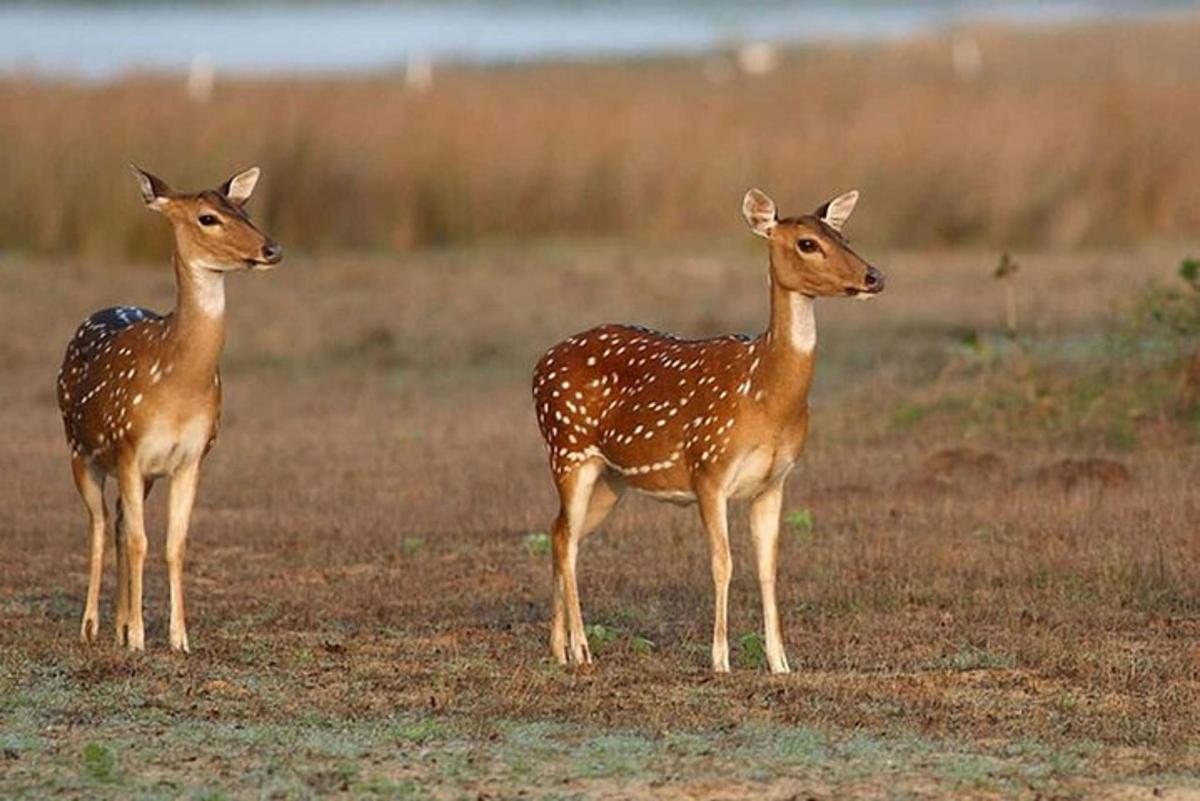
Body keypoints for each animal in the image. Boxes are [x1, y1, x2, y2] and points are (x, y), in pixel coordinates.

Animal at [57, 164, 282, 652]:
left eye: (244, 209)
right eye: (207, 218)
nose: (271, 249)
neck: (177, 386)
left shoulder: (192, 457)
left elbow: (173, 542)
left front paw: (177, 638)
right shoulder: (127, 445)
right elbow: (141, 541)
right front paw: (141, 638)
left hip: (138, 475)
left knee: (119, 522)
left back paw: (119, 625)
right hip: (80, 449)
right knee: (99, 523)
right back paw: (91, 627)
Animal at [532, 188, 883, 671]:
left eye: (843, 235)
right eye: (807, 243)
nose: (873, 276)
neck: (766, 395)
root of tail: (538, 366)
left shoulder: (775, 481)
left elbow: (768, 567)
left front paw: (780, 663)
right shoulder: (708, 469)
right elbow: (723, 562)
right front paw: (720, 660)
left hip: (611, 479)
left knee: (558, 532)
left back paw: (559, 649)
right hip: (568, 447)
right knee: (566, 539)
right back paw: (582, 650)